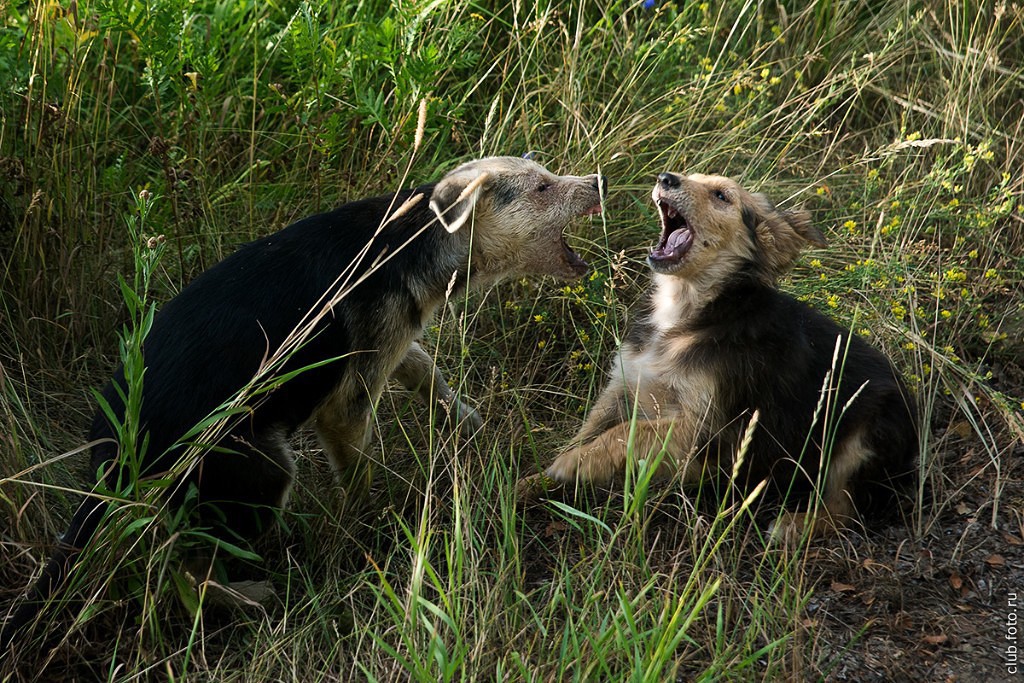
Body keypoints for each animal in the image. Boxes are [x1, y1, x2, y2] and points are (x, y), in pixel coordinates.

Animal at [0, 156, 602, 647]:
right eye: (543, 188)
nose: (599, 180)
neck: (417, 239)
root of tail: (111, 458)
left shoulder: (388, 342)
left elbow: (425, 369)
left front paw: (469, 424)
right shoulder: (349, 395)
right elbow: (358, 466)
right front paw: (364, 524)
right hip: (257, 469)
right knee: (185, 567)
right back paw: (252, 597)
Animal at [524, 174, 917, 540]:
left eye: (721, 196)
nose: (665, 178)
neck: (687, 312)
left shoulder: (708, 428)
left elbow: (627, 433)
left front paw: (574, 465)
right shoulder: (624, 385)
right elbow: (589, 430)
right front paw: (536, 480)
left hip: (867, 434)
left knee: (847, 508)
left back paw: (795, 524)